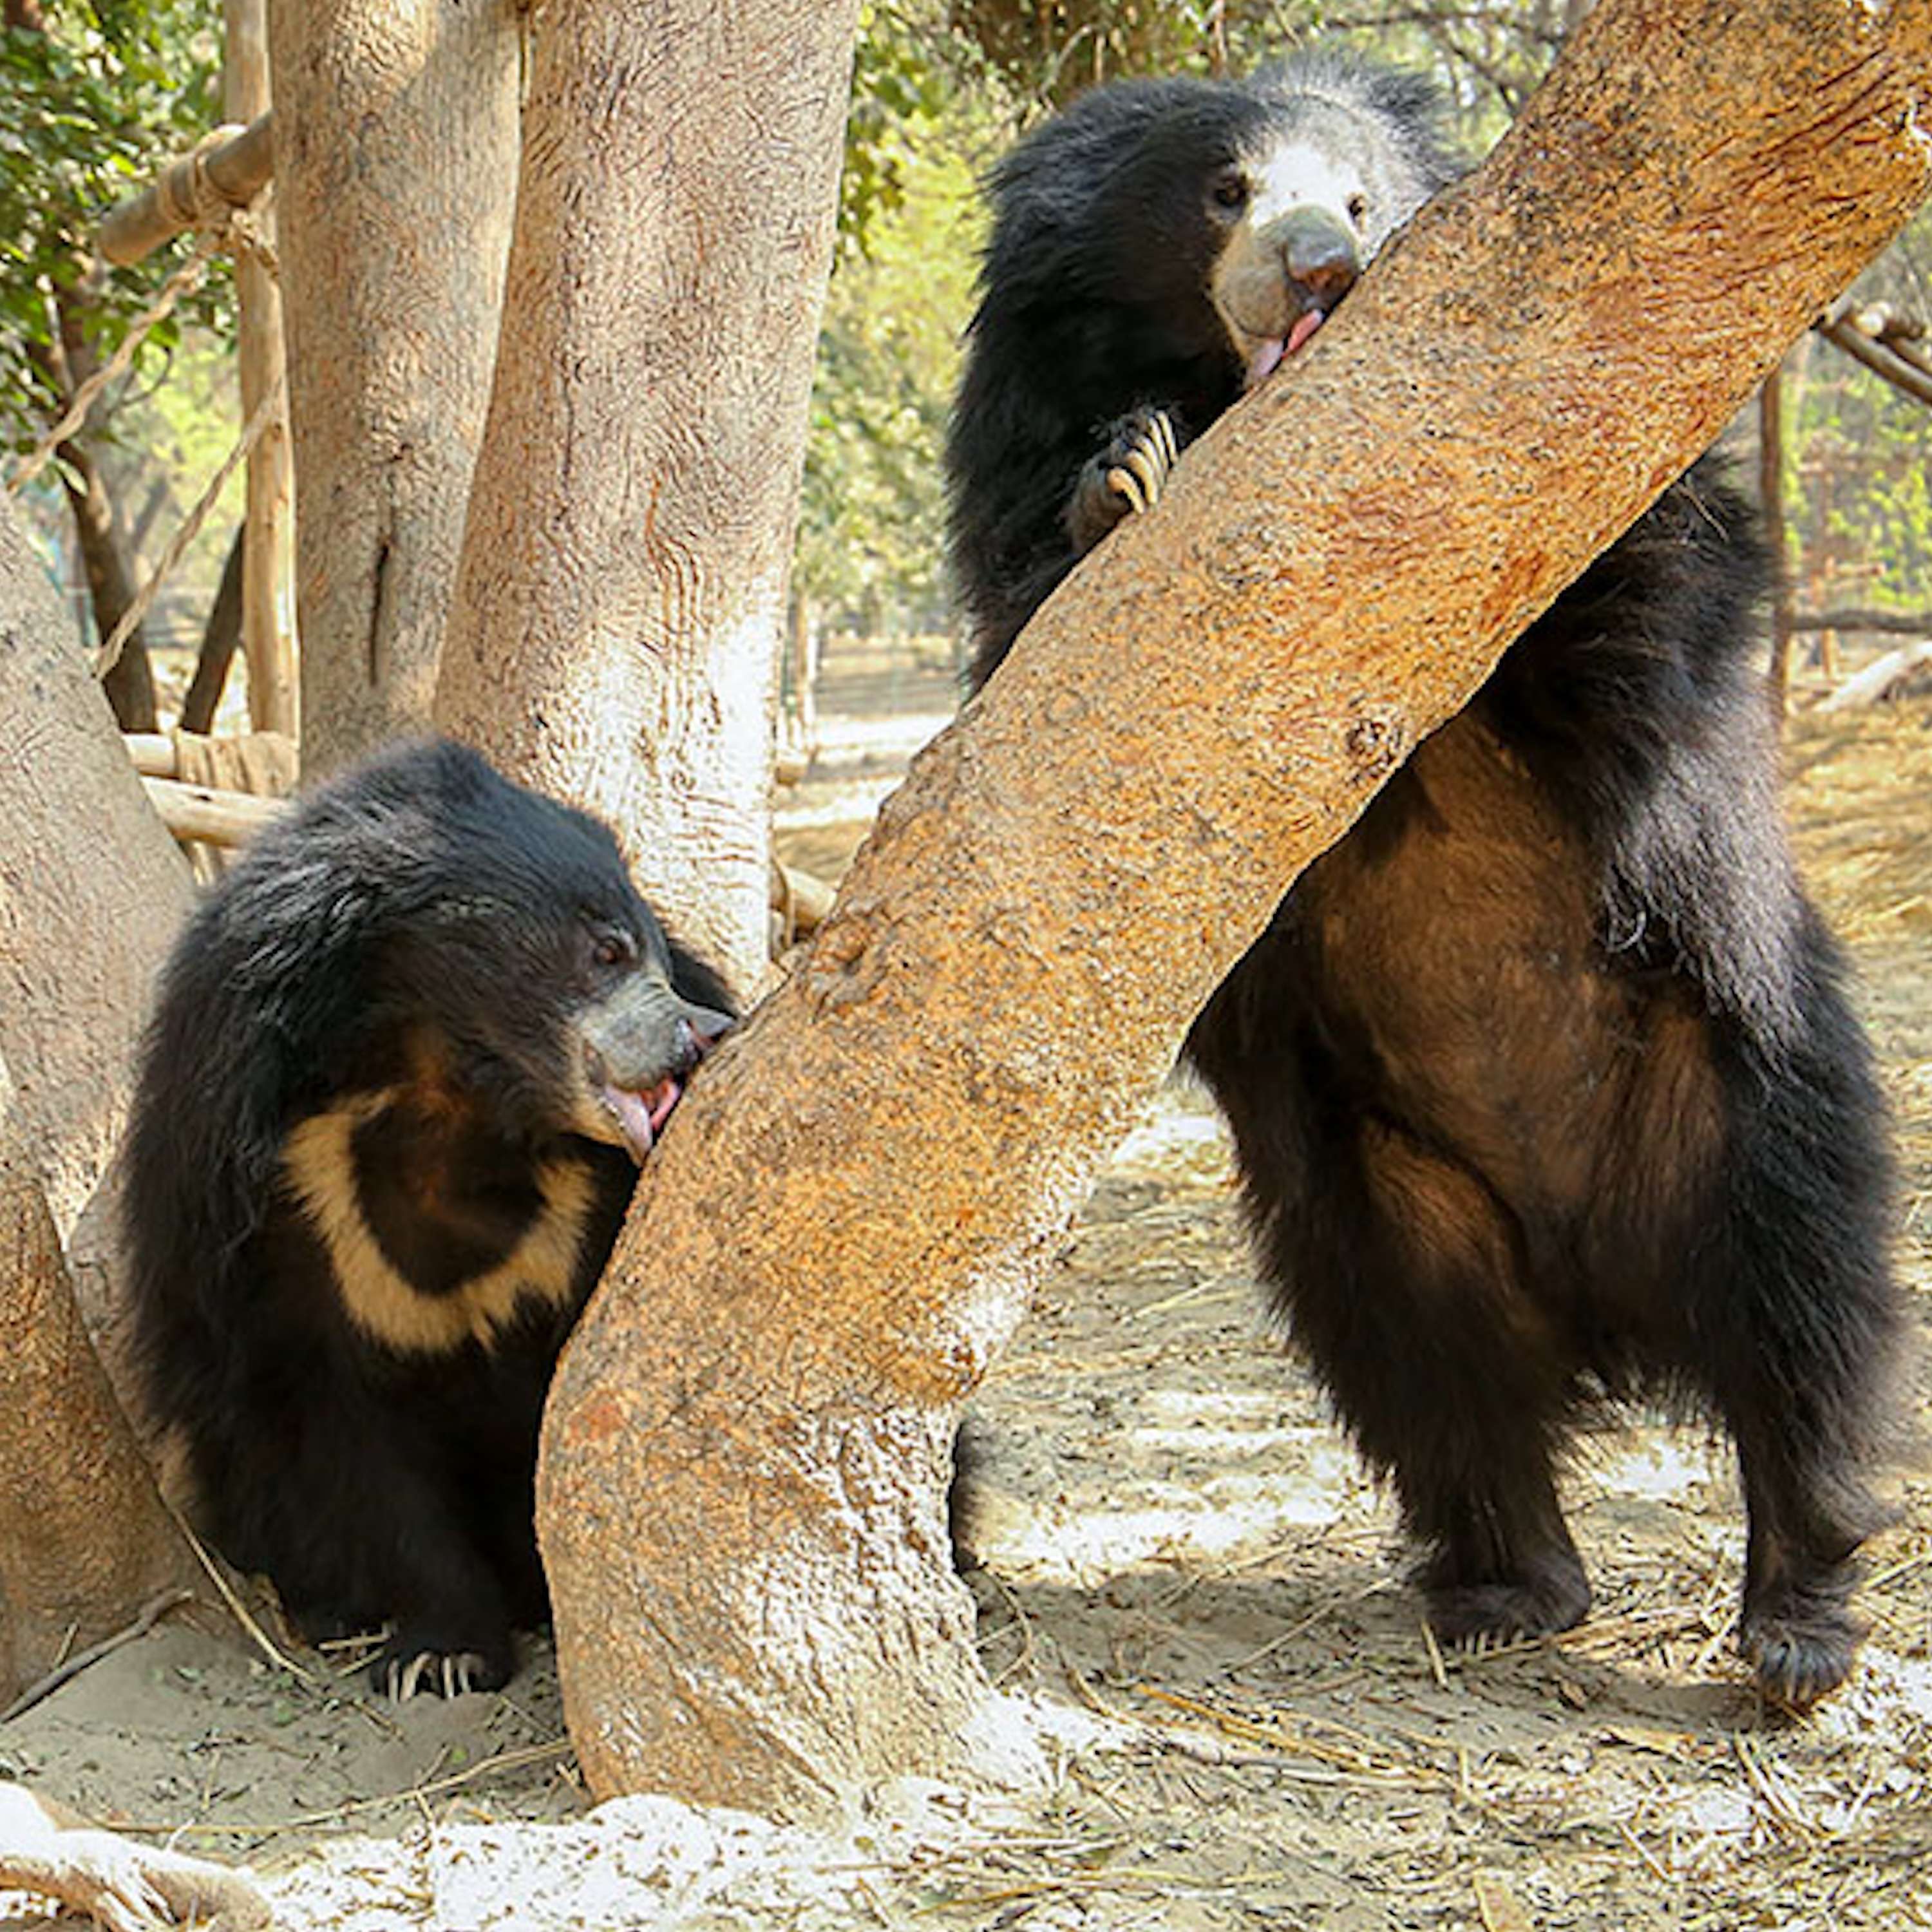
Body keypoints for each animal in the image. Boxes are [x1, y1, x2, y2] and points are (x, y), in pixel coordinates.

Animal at [123, 738, 735, 1697]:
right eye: (606, 950)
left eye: (663, 962)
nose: (702, 1034)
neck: (453, 1100)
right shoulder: (276, 1205)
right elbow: (343, 1435)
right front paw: (441, 1656)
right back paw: (330, 1609)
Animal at [945, 51, 1900, 1707]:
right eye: (1226, 192)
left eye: (1362, 194)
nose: (1323, 266)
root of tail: (1601, 1283)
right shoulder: (1014, 439)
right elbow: (1036, 650)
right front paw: (1120, 474)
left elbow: (1639, 580)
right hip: (1372, 1191)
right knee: (1428, 1373)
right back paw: (1512, 1583)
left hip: (1743, 1076)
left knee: (1809, 1306)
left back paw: (1799, 1608)